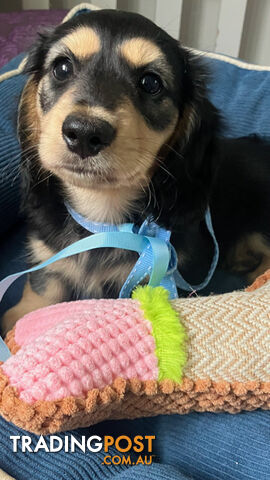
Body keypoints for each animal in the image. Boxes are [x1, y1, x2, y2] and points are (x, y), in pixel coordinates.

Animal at [3, 10, 270, 334]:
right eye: (62, 68)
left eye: (151, 82)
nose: (84, 133)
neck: (103, 220)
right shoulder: (48, 260)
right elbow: (39, 290)